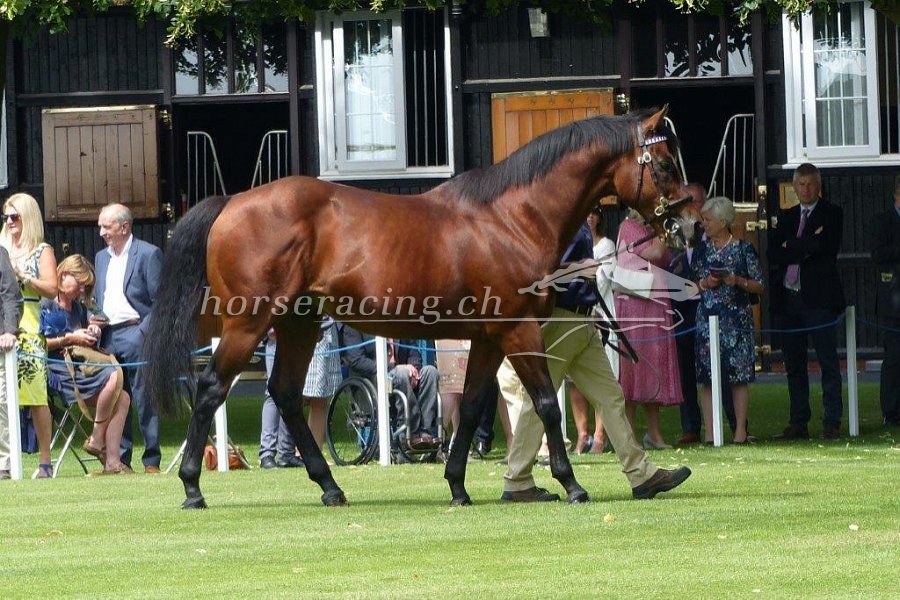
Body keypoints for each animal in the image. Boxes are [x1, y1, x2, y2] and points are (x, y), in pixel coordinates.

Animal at [144, 107, 690, 509]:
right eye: (664, 164)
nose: (683, 225)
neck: (511, 218)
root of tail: (232, 202)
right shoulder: (517, 329)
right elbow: (546, 404)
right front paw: (571, 485)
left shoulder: (488, 336)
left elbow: (470, 407)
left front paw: (458, 487)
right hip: (249, 322)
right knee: (212, 388)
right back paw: (192, 487)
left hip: (299, 322)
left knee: (285, 394)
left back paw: (330, 487)